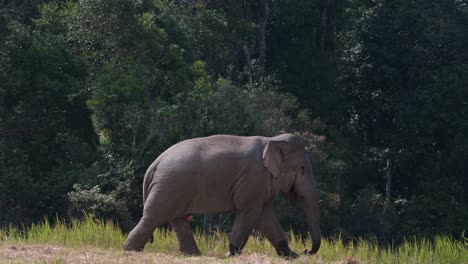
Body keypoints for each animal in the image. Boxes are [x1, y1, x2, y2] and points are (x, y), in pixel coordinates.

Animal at [122, 133, 322, 256]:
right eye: (302, 169)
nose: (306, 250)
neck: (271, 140)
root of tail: (155, 163)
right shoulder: (253, 180)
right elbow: (250, 213)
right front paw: (230, 254)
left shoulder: (259, 187)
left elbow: (266, 217)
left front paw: (292, 257)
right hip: (170, 186)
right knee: (153, 218)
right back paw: (130, 251)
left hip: (173, 187)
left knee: (178, 220)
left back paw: (194, 255)